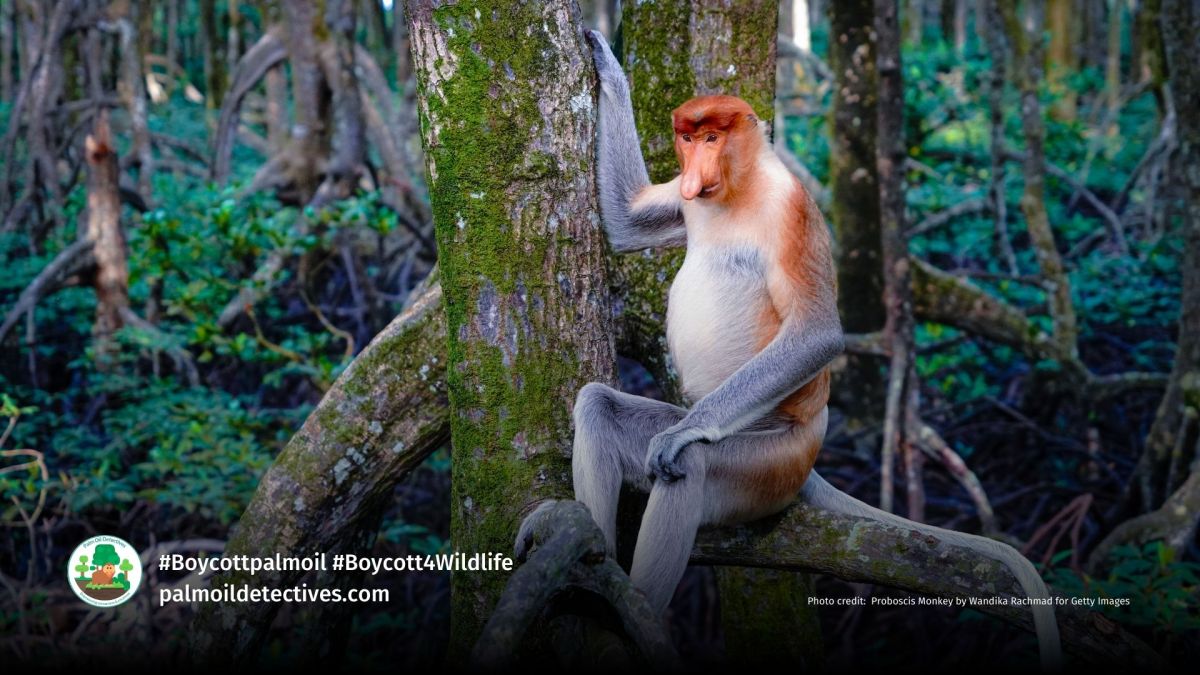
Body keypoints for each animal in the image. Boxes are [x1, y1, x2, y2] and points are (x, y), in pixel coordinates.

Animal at [518, 29, 1061, 670]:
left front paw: (683, 435)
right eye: (687, 139)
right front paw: (609, 66)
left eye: (713, 138)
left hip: (770, 464)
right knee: (600, 408)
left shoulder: (791, 210)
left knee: (693, 464)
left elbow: (818, 333)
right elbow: (627, 223)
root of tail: (810, 454)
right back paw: (591, 560)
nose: (694, 172)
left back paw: (634, 607)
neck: (739, 187)